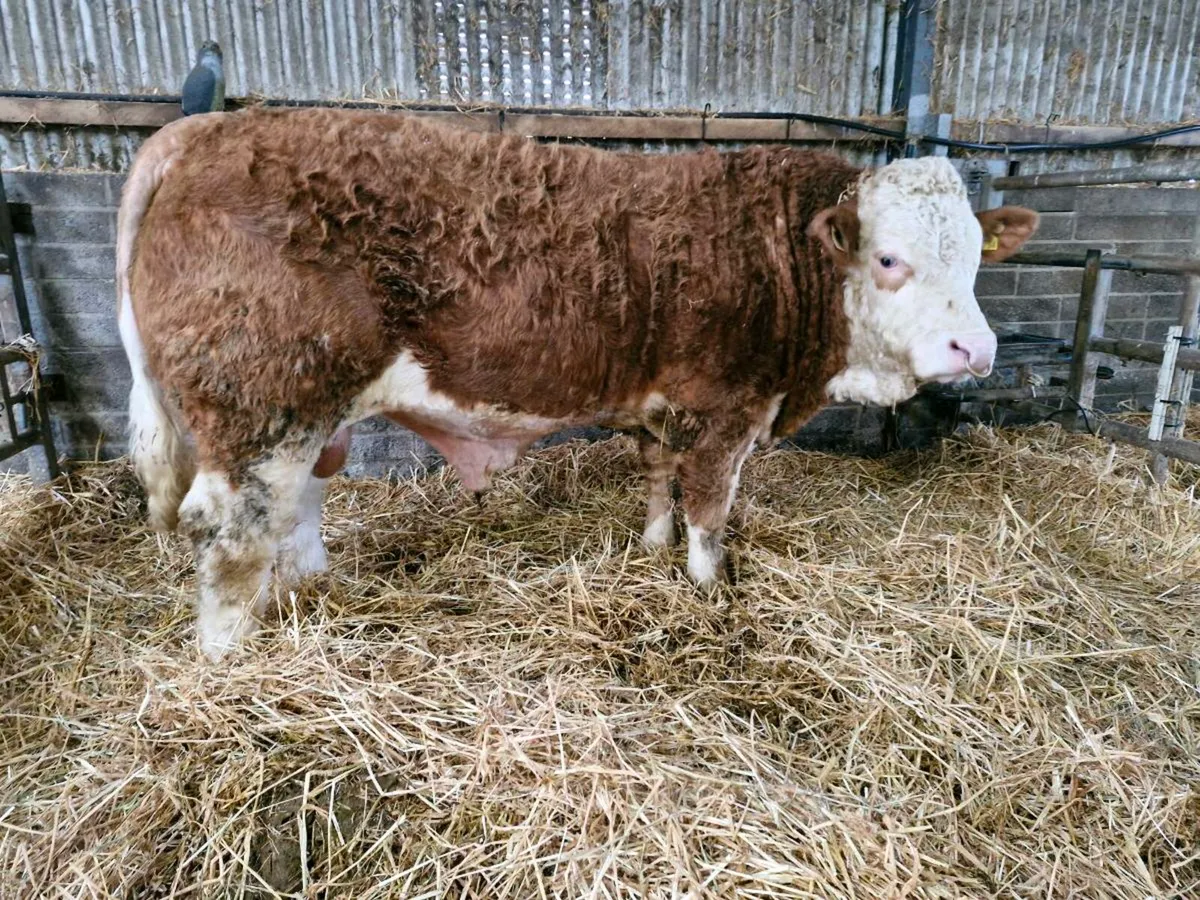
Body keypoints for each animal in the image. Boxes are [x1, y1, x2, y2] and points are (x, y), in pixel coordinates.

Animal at [116, 107, 1038, 659]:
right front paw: (707, 594)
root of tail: (202, 129)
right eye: (889, 259)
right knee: (232, 536)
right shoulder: (727, 408)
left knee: (293, 513)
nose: (975, 348)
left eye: (974, 255)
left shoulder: (666, 410)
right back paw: (232, 663)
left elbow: (660, 484)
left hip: (307, 411)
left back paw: (307, 595)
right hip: (262, 405)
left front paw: (653, 551)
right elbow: (709, 510)